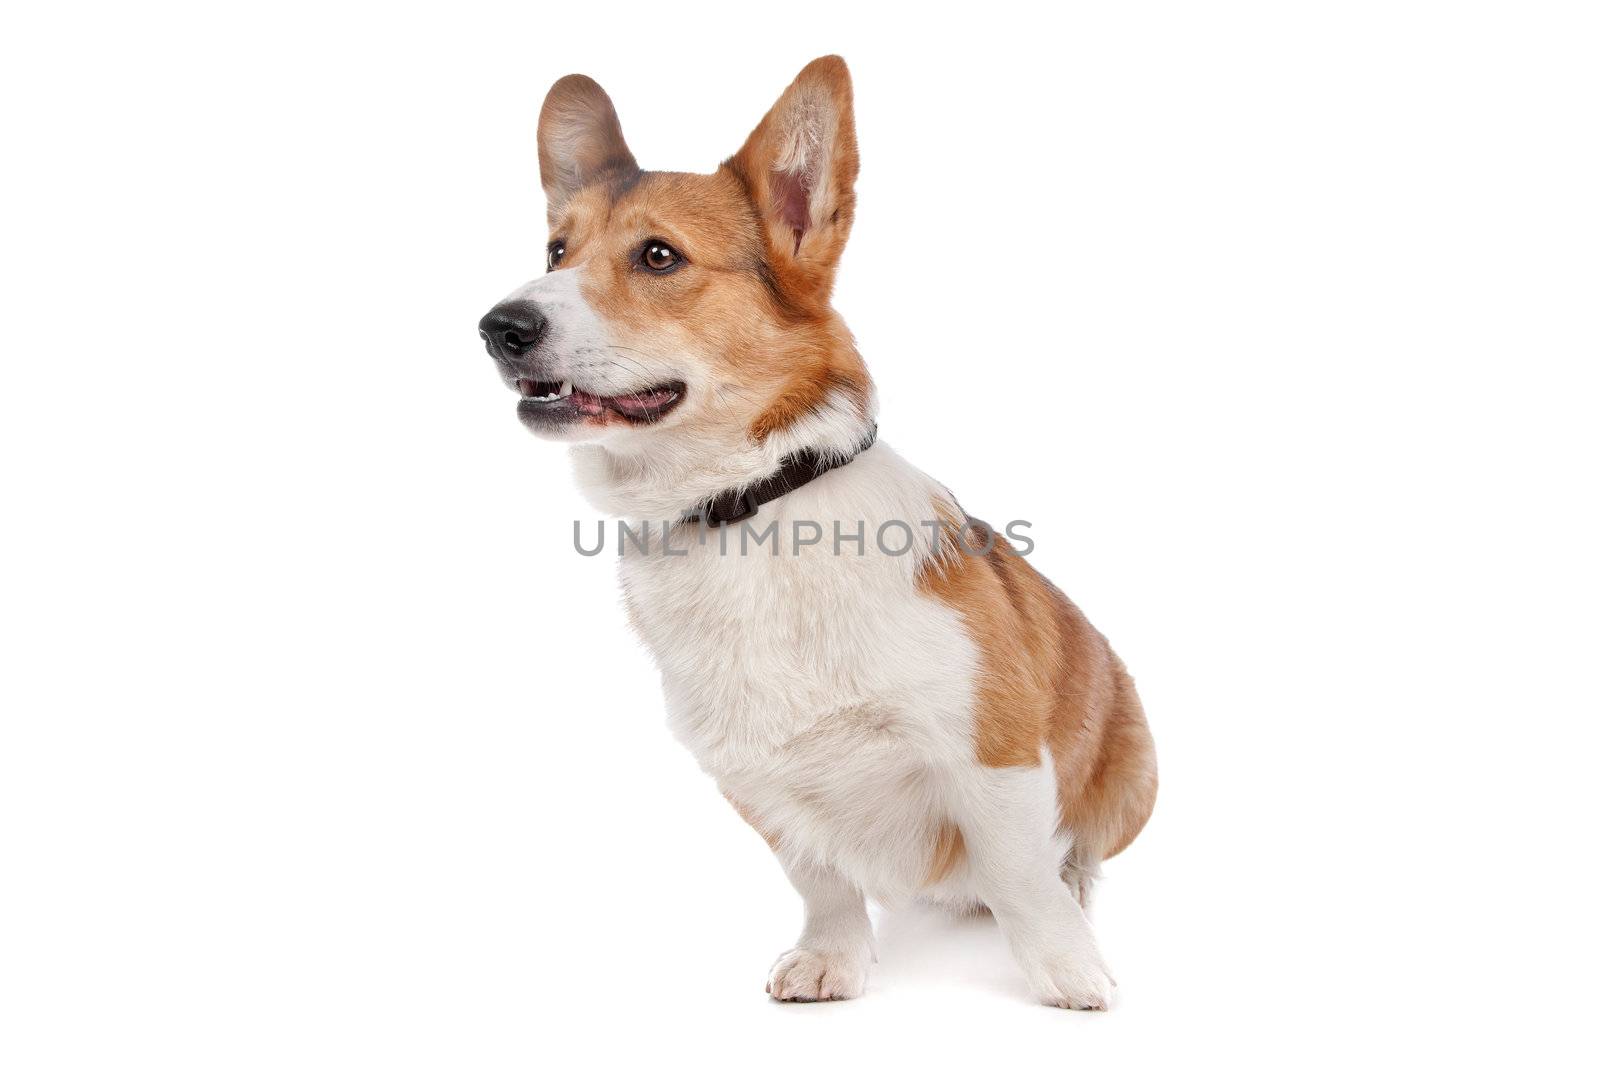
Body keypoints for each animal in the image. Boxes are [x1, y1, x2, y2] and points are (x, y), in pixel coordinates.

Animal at [480, 56, 1158, 1011]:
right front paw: (831, 960)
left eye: (659, 255)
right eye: (555, 251)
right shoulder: (755, 779)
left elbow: (1022, 873)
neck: (747, 508)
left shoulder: (993, 752)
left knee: (1071, 855)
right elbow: (822, 881)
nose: (499, 327)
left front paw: (1067, 968)